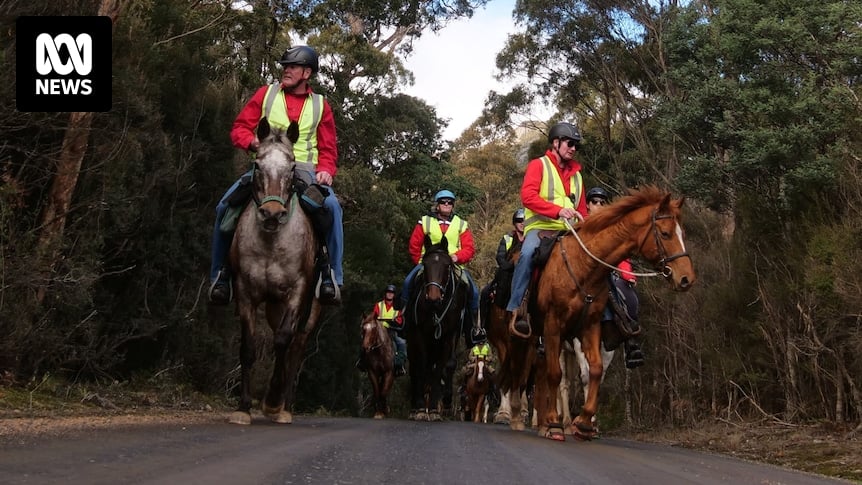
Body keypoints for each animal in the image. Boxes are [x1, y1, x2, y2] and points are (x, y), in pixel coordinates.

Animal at [228, 117, 322, 424]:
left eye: (292, 166)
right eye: (258, 164)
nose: (271, 214)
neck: (271, 242)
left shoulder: (297, 291)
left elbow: (282, 341)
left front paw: (271, 402)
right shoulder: (245, 291)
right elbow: (248, 347)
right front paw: (244, 407)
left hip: (311, 310)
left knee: (296, 349)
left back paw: (285, 407)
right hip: (272, 306)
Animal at [406, 234, 470, 420]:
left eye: (447, 265)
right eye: (425, 264)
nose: (433, 297)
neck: (437, 309)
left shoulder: (449, 335)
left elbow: (444, 366)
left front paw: (437, 408)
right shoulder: (419, 335)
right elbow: (421, 365)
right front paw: (421, 409)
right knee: (415, 367)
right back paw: (414, 408)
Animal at [506, 185, 696, 438]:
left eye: (682, 233)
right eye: (665, 234)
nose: (686, 278)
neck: (584, 266)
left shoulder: (591, 328)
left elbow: (595, 372)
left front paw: (585, 422)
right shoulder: (555, 325)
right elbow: (558, 375)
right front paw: (558, 424)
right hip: (523, 336)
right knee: (519, 373)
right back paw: (522, 418)